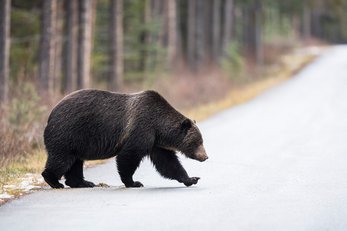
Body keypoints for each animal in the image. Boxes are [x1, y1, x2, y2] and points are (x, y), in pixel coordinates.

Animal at [42, 89, 208, 189]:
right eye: (197, 142)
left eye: (202, 141)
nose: (205, 156)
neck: (159, 127)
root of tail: (51, 114)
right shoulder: (141, 129)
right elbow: (129, 155)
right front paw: (134, 182)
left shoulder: (155, 142)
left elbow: (168, 163)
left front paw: (191, 178)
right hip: (68, 133)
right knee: (62, 159)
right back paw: (54, 181)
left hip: (77, 142)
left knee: (75, 162)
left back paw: (83, 182)